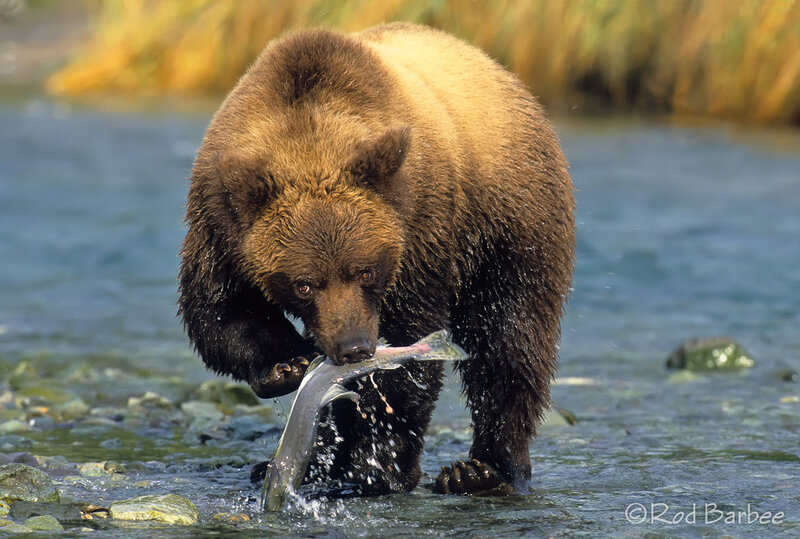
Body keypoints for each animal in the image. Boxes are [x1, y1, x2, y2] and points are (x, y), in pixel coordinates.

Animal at [178, 23, 574, 496]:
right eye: (304, 282)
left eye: (365, 270)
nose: (354, 347)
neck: (306, 135)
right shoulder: (220, 222)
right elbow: (219, 310)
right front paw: (283, 366)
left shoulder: (419, 226)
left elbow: (410, 349)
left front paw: (382, 463)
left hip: (512, 224)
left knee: (510, 339)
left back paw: (484, 470)